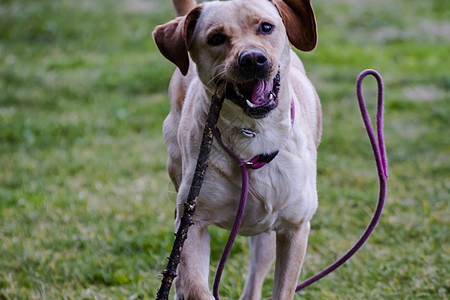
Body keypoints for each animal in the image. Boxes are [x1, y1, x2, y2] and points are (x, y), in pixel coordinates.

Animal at [154, 0, 320, 298]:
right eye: (216, 38)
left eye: (266, 27)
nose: (252, 58)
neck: (254, 133)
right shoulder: (192, 223)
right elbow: (195, 286)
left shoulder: (295, 228)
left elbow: (283, 290)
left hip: (266, 238)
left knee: (253, 283)